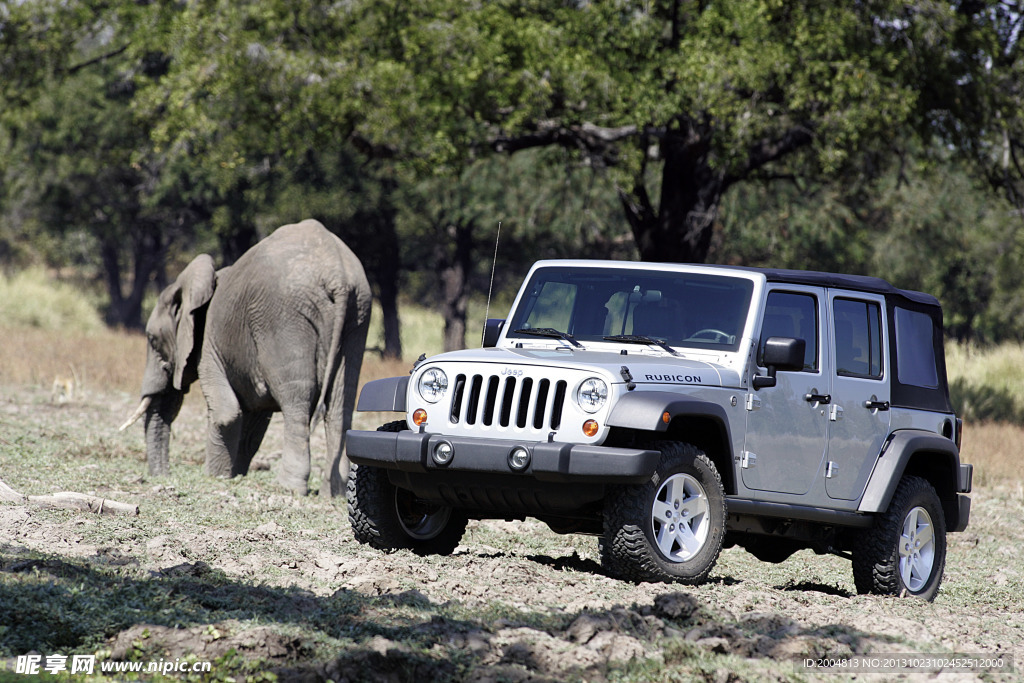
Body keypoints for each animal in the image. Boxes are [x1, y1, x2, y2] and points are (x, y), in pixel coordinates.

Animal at [120, 220, 372, 497]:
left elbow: (227, 413)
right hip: (357, 317)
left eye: (152, 340)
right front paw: (235, 474)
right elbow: (255, 417)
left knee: (297, 399)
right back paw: (336, 492)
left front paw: (215, 476)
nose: (163, 475)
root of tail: (337, 274)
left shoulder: (209, 343)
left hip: (284, 319)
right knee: (341, 402)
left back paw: (289, 487)